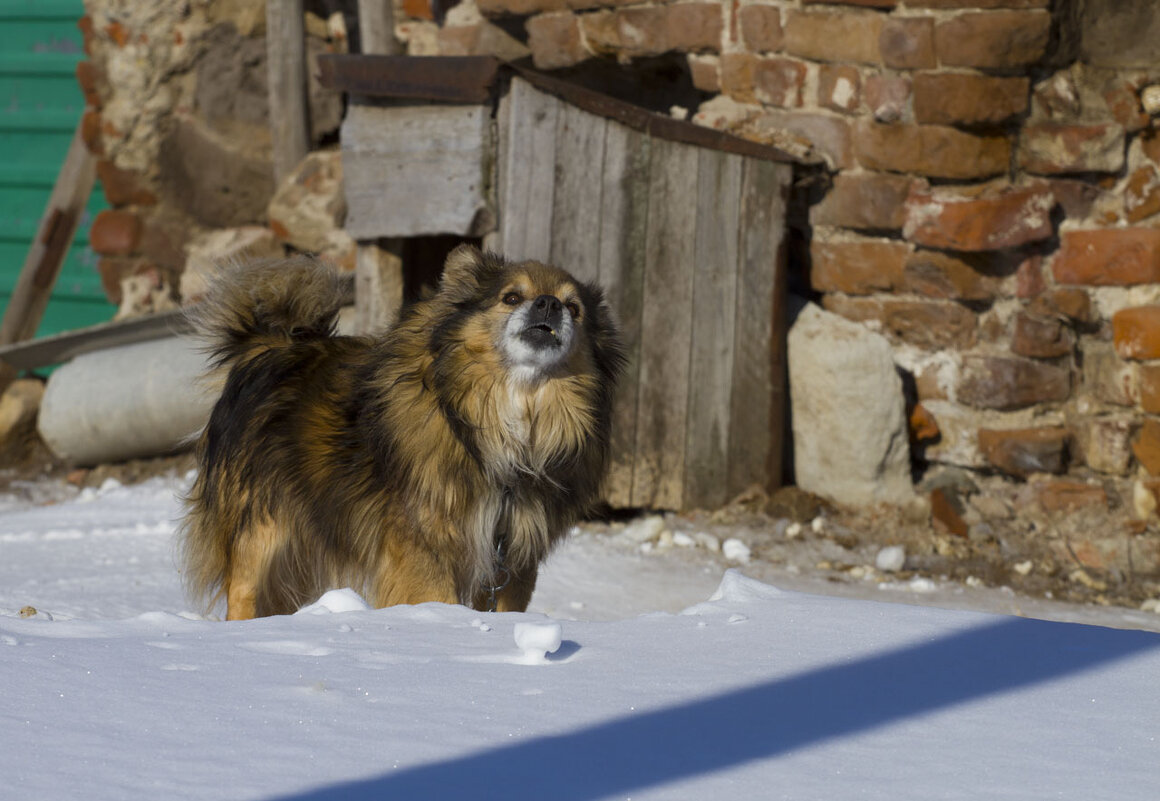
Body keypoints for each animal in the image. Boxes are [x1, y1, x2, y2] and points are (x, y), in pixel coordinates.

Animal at [178, 248, 626, 621]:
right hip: (261, 530)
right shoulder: (423, 547)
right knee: (243, 592)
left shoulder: (512, 559)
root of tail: (268, 346)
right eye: (511, 298)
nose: (549, 304)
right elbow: (436, 598)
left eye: (574, 308)